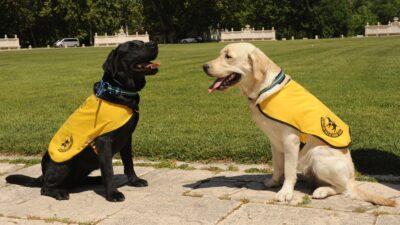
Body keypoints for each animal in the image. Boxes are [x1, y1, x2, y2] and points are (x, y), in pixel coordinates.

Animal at [6, 40, 159, 202]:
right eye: (133, 46)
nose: (154, 43)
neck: (118, 90)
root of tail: (43, 173)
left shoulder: (127, 138)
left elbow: (129, 163)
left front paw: (135, 181)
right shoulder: (104, 141)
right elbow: (109, 170)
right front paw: (113, 193)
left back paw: (96, 179)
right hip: (63, 165)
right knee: (45, 188)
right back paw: (59, 192)